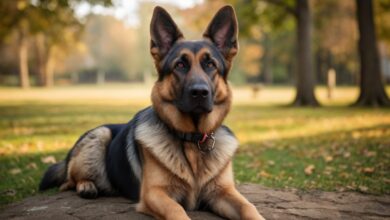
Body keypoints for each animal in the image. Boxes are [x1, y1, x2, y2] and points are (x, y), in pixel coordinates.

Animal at [39, 5, 266, 220]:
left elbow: (249, 207)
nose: (200, 92)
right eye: (180, 65)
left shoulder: (223, 192)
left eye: (210, 64)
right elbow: (176, 210)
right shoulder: (154, 194)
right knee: (68, 181)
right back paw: (87, 185)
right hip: (100, 135)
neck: (192, 141)